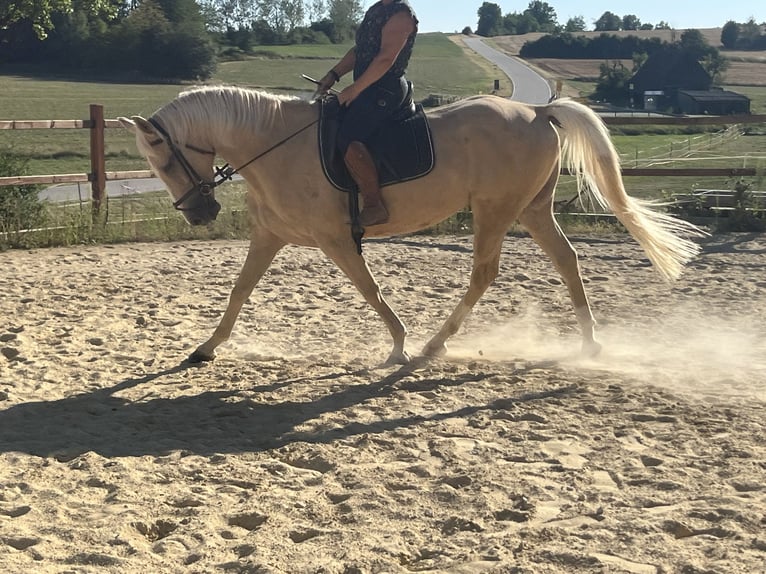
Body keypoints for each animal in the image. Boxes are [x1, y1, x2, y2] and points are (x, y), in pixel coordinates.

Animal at [119, 85, 703, 365]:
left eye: (164, 159)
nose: (200, 213)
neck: (274, 146)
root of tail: (538, 112)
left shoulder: (335, 239)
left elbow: (369, 288)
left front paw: (398, 344)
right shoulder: (270, 237)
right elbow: (239, 290)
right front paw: (206, 348)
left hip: (495, 210)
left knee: (484, 273)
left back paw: (431, 346)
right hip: (532, 210)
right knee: (566, 259)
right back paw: (588, 344)